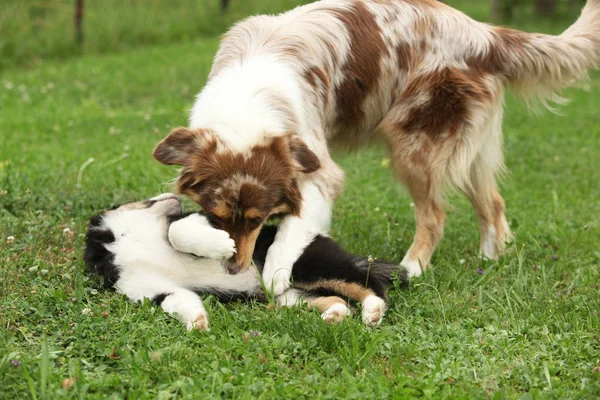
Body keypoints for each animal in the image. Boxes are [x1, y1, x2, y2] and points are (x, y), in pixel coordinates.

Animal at [83, 192, 408, 330]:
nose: (175, 193)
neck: (124, 244)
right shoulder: (152, 290)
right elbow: (178, 301)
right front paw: (197, 323)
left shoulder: (202, 221)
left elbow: (177, 230)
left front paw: (221, 247)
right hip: (289, 294)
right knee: (336, 300)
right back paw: (334, 316)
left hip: (311, 265)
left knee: (370, 285)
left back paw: (373, 312)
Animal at [152, 0, 596, 294]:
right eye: (216, 215)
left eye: (258, 219)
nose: (232, 269)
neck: (244, 107)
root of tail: (486, 33)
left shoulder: (320, 173)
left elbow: (287, 236)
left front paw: (275, 278)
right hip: (466, 147)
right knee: (494, 204)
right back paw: (487, 261)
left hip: (413, 142)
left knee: (435, 215)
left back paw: (412, 268)